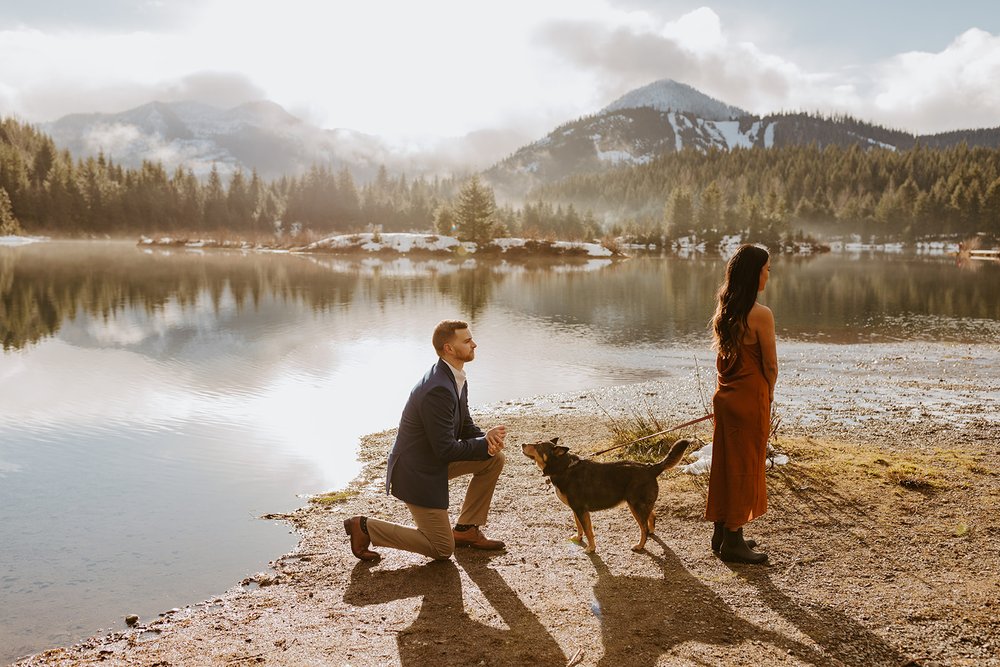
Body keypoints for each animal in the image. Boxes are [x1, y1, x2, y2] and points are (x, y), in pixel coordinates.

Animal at [520, 438, 692, 552]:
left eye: (537, 446)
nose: (522, 444)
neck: (563, 467)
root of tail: (651, 468)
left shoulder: (581, 510)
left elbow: (588, 531)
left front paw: (591, 548)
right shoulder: (575, 510)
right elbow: (579, 526)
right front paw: (578, 538)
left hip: (635, 506)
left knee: (643, 528)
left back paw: (640, 545)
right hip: (640, 504)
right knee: (652, 516)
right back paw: (651, 532)